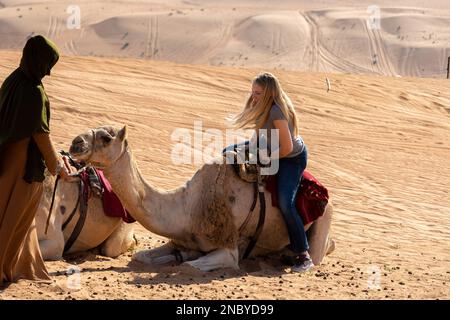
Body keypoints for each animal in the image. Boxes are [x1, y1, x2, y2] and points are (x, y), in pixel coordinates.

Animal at [67, 125, 334, 270]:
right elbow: (141, 256)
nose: (75, 143)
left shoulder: (227, 247)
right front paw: (178, 255)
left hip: (323, 219)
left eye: (106, 138)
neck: (188, 206)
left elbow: (192, 265)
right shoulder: (180, 237)